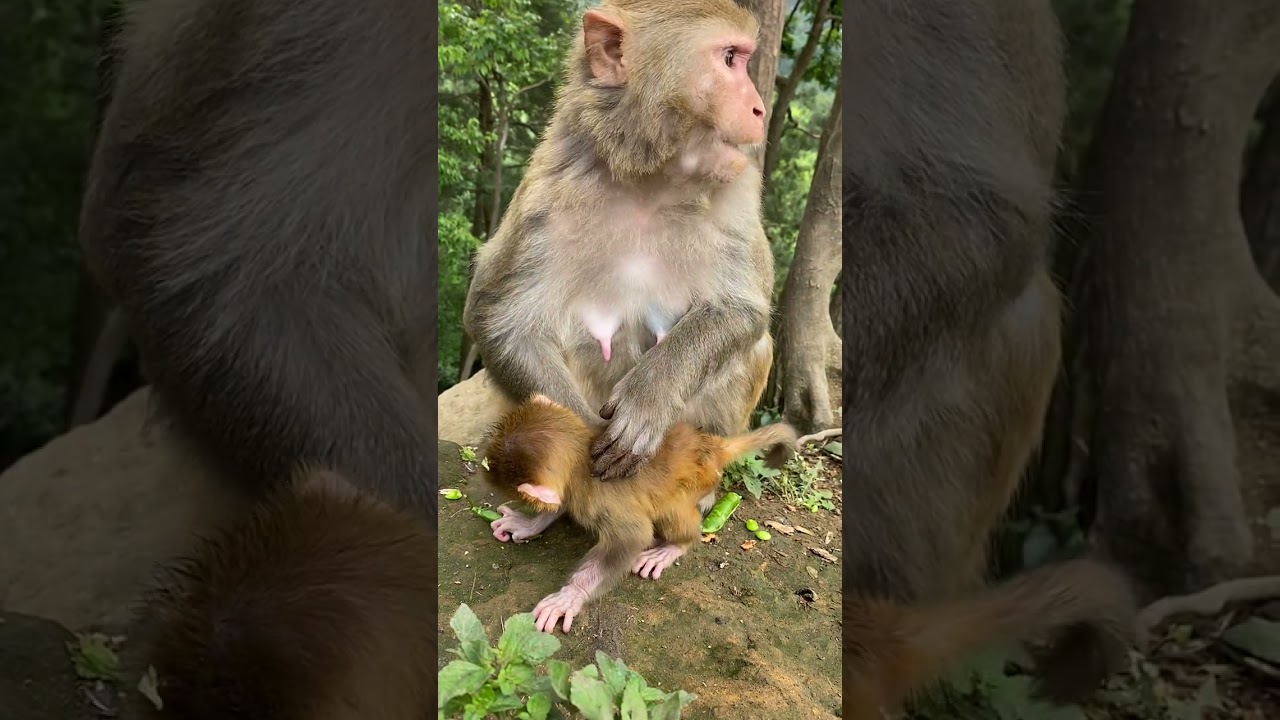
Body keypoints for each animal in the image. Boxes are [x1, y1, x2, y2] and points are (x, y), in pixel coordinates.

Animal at [463, 0, 776, 500]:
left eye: (743, 58)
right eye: (729, 58)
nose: (760, 109)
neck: (649, 180)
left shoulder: (739, 189)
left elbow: (741, 309)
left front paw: (649, 398)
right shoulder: (546, 196)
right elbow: (498, 320)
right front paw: (573, 437)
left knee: (756, 346)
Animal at [478, 394, 798, 633]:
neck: (582, 461)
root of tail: (713, 445)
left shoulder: (598, 501)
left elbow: (631, 537)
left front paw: (569, 596)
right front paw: (528, 524)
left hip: (699, 481)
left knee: (673, 511)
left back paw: (673, 546)